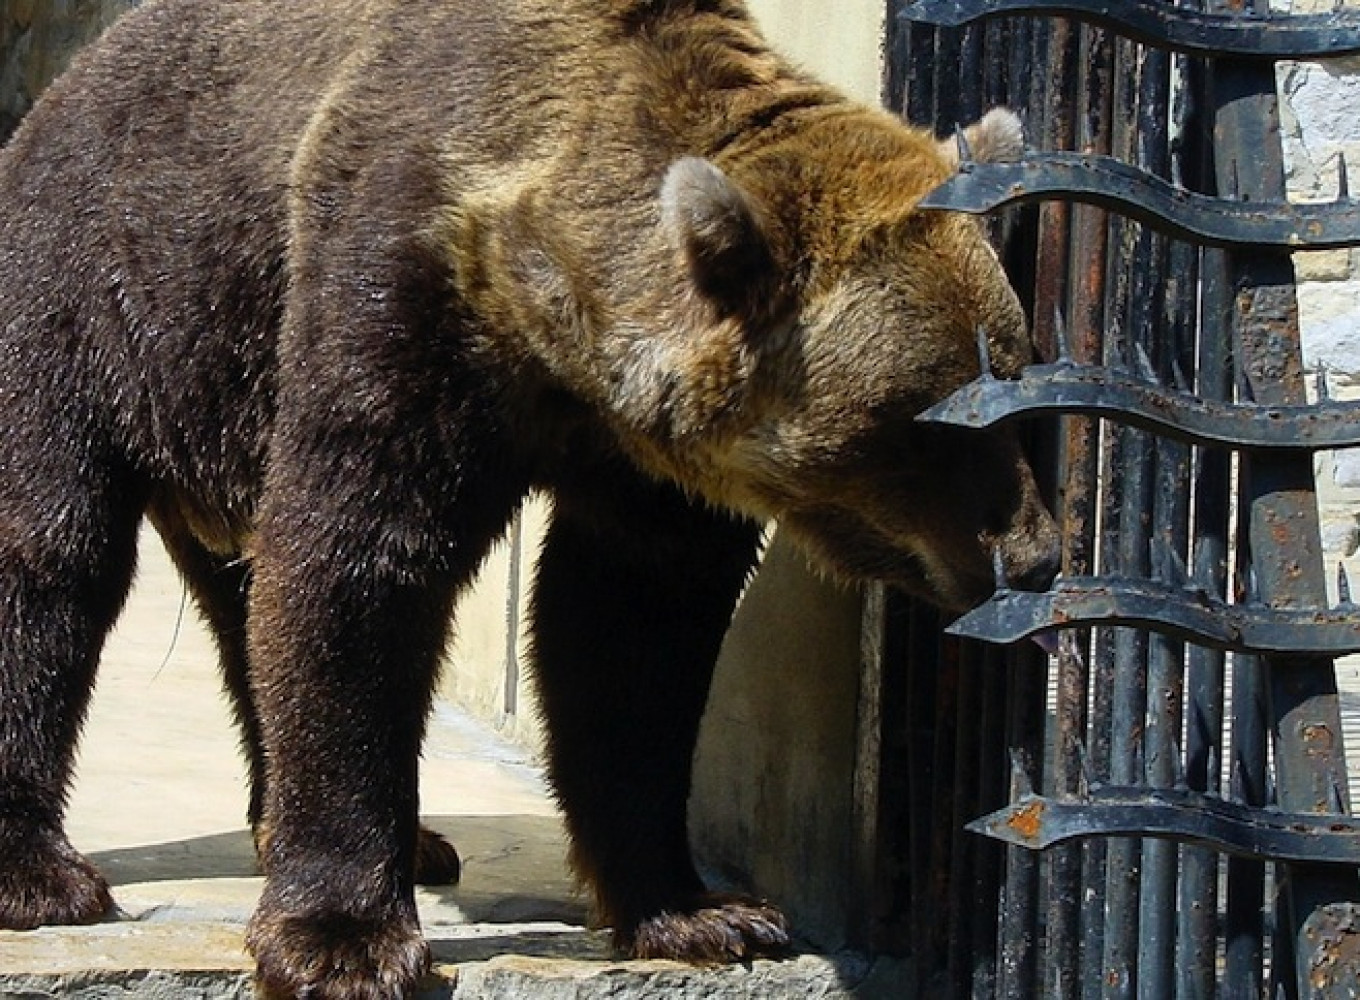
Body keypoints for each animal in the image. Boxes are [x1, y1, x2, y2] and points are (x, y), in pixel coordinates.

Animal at [0, 0, 1060, 995]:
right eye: (930, 417)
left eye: (1013, 379)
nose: (1035, 551)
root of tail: (66, 83)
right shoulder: (398, 289)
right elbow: (359, 566)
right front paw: (343, 941)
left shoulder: (646, 463)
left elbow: (628, 637)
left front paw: (702, 912)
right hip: (104, 290)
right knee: (55, 550)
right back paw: (42, 876)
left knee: (236, 598)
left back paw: (384, 837)